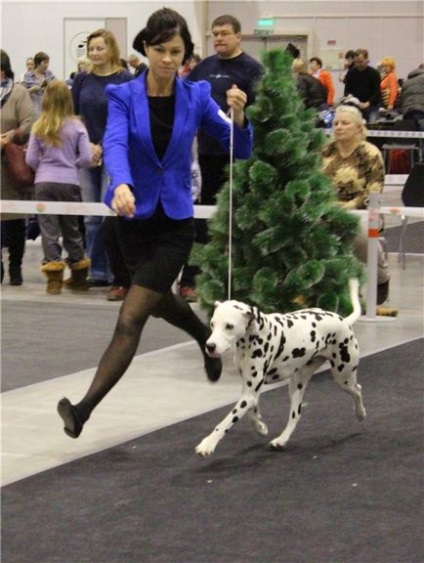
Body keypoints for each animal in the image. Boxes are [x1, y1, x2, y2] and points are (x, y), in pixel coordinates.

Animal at [195, 278, 364, 458]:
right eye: (212, 324)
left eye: (229, 326)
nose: (210, 346)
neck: (254, 336)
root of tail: (344, 321)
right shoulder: (250, 391)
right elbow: (253, 412)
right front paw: (260, 427)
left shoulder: (248, 394)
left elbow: (225, 422)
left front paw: (208, 443)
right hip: (297, 383)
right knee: (296, 415)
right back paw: (282, 439)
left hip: (343, 377)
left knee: (357, 389)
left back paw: (360, 413)